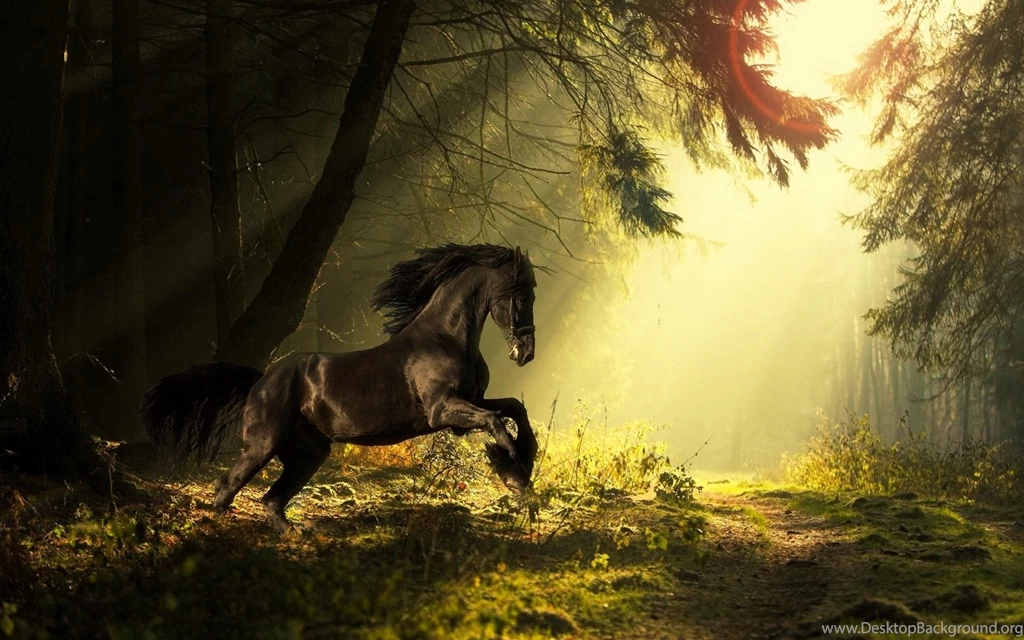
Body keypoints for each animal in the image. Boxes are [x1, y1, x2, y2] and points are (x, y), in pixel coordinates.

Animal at [140, 243, 539, 531]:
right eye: (521, 295)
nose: (526, 352)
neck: (444, 338)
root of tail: (261, 380)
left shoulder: (468, 404)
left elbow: (514, 409)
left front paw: (523, 462)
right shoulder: (443, 411)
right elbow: (496, 420)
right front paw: (514, 471)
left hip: (308, 454)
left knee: (271, 500)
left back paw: (294, 533)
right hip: (262, 445)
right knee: (226, 486)